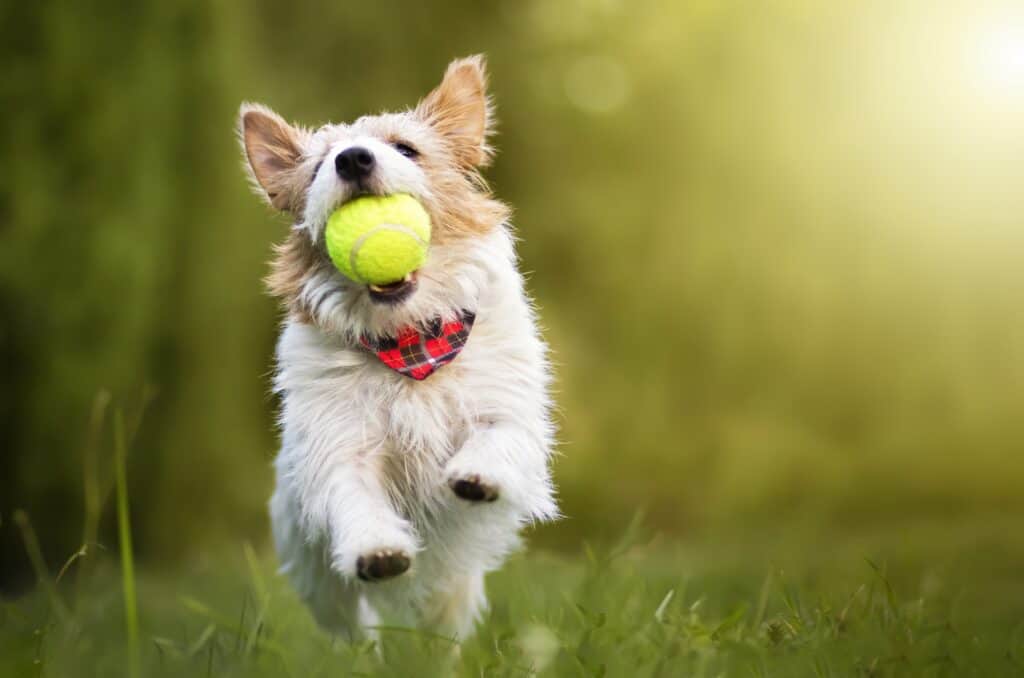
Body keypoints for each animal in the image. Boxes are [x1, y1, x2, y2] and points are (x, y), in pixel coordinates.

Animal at [237, 54, 561, 643]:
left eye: (406, 148)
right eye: (318, 168)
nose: (353, 159)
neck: (411, 341)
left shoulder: (510, 410)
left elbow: (499, 435)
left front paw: (478, 474)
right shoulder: (342, 443)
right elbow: (356, 494)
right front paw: (377, 549)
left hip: (453, 594)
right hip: (324, 587)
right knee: (353, 631)